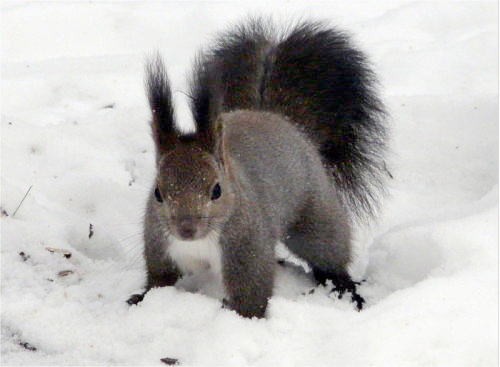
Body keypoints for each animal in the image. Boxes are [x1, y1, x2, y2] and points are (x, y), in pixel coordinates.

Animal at [128, 18, 386, 320]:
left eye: (217, 190)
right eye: (157, 192)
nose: (186, 229)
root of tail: (277, 118)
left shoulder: (247, 249)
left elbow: (251, 296)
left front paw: (240, 318)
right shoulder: (160, 244)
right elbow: (160, 280)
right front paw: (141, 298)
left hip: (314, 215)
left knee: (329, 251)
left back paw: (344, 288)